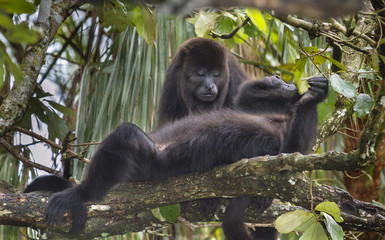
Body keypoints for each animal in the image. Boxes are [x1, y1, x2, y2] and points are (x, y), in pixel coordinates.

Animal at [41, 74, 328, 238]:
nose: (285, 80)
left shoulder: (275, 143)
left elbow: (286, 156)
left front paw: (314, 97)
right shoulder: (254, 107)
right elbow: (244, 97)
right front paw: (295, 89)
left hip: (152, 163)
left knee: (126, 136)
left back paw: (80, 194)